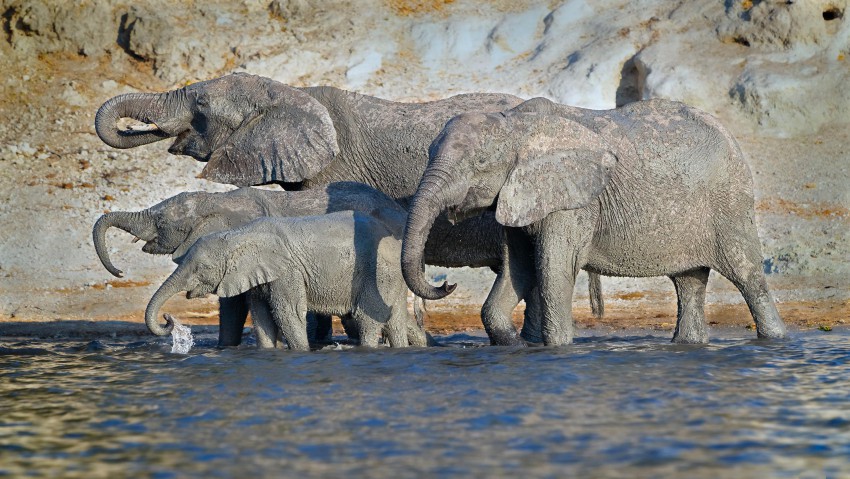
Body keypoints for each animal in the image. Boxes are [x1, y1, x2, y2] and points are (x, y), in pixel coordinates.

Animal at [147, 212, 418, 350]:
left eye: (201, 268)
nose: (168, 318)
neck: (238, 235)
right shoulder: (257, 277)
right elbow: (261, 316)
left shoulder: (288, 272)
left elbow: (287, 313)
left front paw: (301, 352)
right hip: (390, 279)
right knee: (395, 319)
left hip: (378, 273)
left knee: (367, 318)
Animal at [400, 97, 784, 346]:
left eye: (479, 162)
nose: (447, 284)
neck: (516, 124)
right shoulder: (520, 196)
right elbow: (520, 268)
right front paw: (513, 344)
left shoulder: (574, 201)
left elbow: (552, 269)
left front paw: (557, 348)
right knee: (688, 282)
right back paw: (689, 344)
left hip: (730, 202)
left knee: (747, 276)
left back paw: (775, 340)